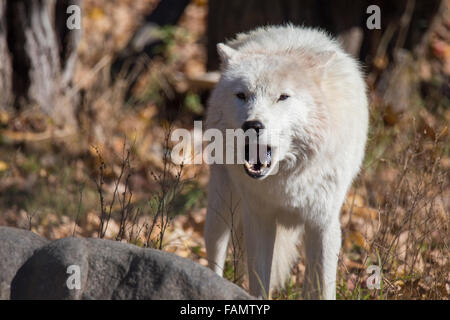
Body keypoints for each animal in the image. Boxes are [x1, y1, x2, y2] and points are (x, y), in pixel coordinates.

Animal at [204, 25, 370, 300]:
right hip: (220, 207)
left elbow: (323, 289)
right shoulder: (259, 218)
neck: (285, 182)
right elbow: (259, 285)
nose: (252, 125)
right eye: (242, 95)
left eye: (282, 97)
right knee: (214, 258)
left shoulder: (323, 224)